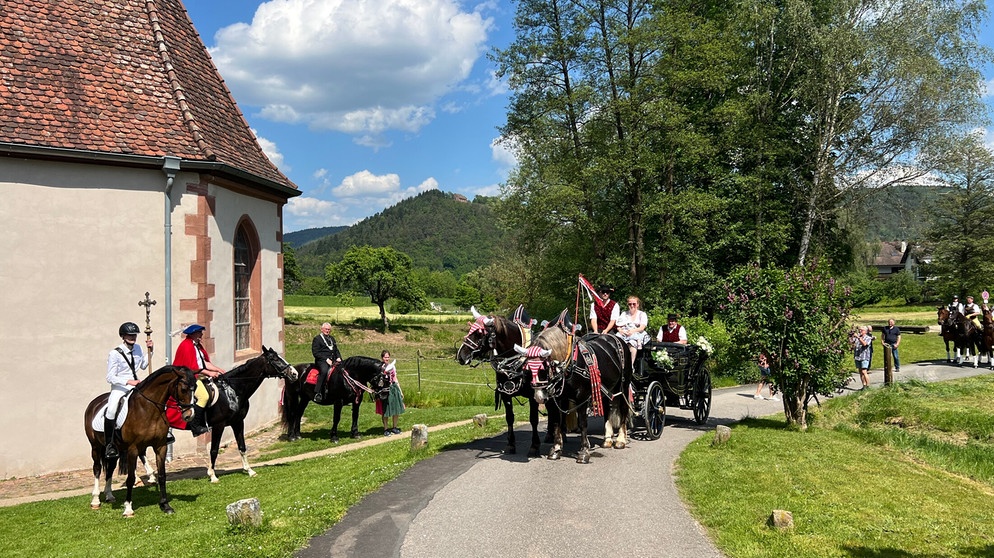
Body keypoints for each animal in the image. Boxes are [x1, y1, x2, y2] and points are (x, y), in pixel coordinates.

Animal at [84, 368, 198, 516]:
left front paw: (165, 505)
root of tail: (94, 403)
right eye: (183, 389)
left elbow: (162, 475)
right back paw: (96, 500)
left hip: (115, 450)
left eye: (195, 388)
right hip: (96, 447)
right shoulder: (133, 449)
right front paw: (128, 508)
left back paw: (109, 495)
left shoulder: (160, 446)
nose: (190, 415)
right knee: (97, 469)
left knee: (110, 469)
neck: (148, 409)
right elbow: (130, 478)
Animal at [200, 348, 294, 484]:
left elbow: (242, 447)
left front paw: (249, 470)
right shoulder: (219, 425)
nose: (294, 373)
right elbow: (214, 450)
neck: (231, 391)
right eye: (275, 359)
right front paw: (212, 476)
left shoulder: (237, 422)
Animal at [458, 308, 544, 458]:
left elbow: (534, 419)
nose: (460, 356)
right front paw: (510, 445)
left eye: (479, 334)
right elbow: (509, 418)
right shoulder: (505, 394)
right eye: (469, 330)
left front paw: (534, 446)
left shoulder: (534, 396)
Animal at [520, 330, 628, 466]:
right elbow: (557, 422)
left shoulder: (582, 398)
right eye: (527, 370)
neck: (569, 364)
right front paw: (556, 449)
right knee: (607, 409)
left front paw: (584, 452)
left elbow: (582, 423)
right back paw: (607, 440)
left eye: (543, 368)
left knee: (624, 409)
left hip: (624, 386)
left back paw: (621, 440)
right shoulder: (557, 400)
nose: (539, 397)